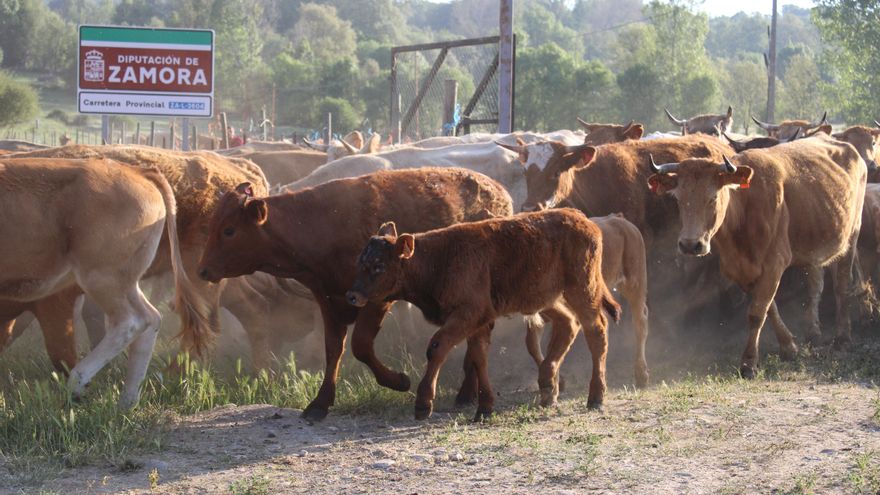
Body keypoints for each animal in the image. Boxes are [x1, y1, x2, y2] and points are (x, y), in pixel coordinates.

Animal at [0, 157, 205, 408]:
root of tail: (136, 170)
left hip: (102, 277)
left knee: (131, 321)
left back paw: (77, 383)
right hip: (126, 281)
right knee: (151, 319)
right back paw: (127, 401)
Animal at [198, 169, 516, 420]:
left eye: (229, 230)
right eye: (211, 226)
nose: (202, 270)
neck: (318, 226)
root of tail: (499, 191)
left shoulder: (376, 298)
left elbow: (361, 345)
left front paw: (398, 381)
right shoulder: (329, 300)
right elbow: (333, 350)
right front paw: (320, 402)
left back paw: (466, 392)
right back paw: (468, 392)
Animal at [344, 209, 620, 422]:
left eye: (378, 265)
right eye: (359, 262)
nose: (352, 296)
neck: (439, 259)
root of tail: (581, 217)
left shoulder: (468, 313)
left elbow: (437, 347)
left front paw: (423, 404)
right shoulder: (479, 321)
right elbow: (478, 357)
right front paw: (484, 408)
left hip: (583, 290)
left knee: (596, 331)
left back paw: (595, 396)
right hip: (547, 298)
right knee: (568, 324)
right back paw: (547, 388)